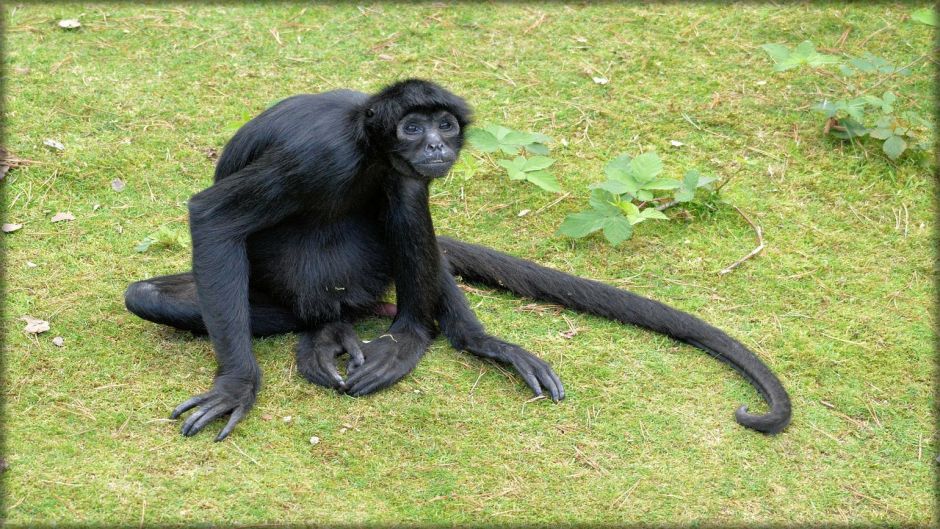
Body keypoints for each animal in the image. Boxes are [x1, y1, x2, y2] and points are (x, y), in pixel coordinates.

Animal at [121, 79, 788, 442]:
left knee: (406, 195)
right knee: (149, 296)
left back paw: (411, 335)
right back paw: (331, 329)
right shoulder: (322, 153)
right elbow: (212, 216)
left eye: (444, 124)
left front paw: (482, 341)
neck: (366, 139)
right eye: (414, 128)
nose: (438, 145)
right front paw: (236, 386)